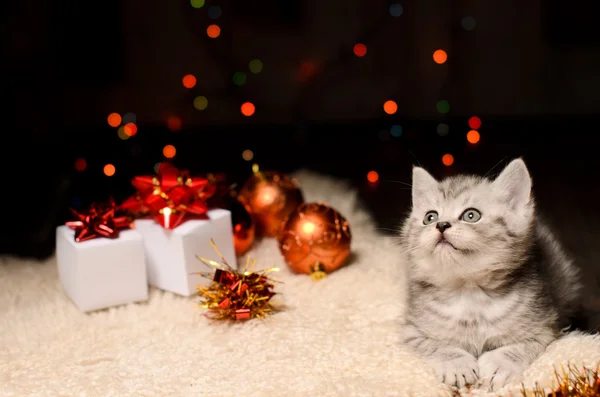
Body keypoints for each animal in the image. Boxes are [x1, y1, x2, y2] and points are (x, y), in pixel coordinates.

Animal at [400, 158, 584, 390]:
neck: (469, 292)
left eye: (471, 215)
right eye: (429, 217)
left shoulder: (546, 327)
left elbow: (522, 346)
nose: (441, 225)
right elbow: (435, 344)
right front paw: (456, 364)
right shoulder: (412, 330)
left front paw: (501, 364)